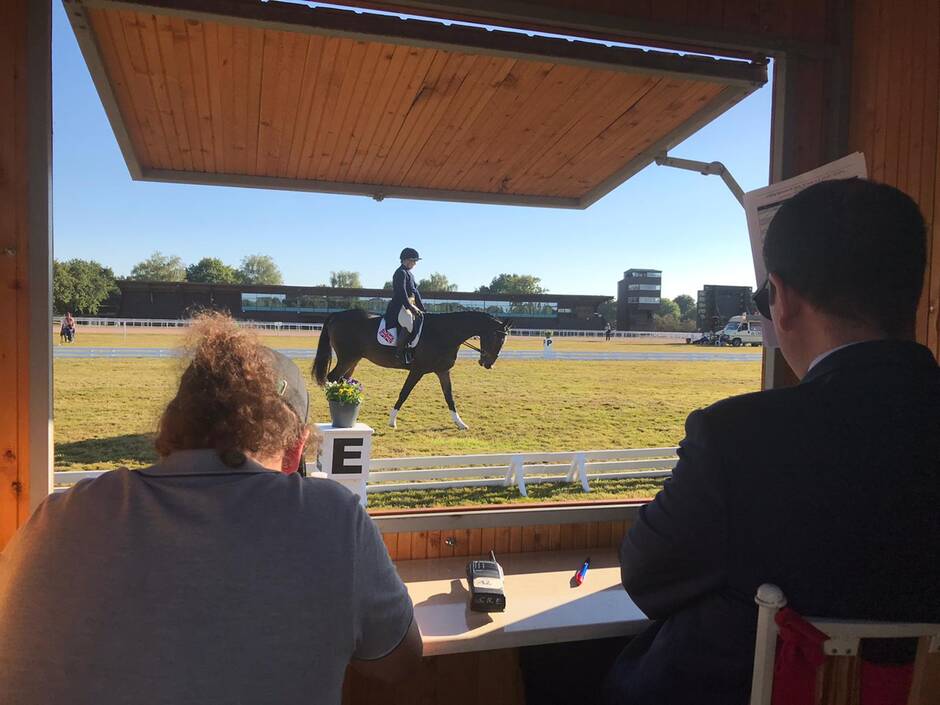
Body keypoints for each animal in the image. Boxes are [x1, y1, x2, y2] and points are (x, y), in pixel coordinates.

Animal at [314, 310, 506, 428]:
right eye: (497, 338)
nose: (488, 363)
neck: (444, 332)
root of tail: (337, 315)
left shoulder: (443, 371)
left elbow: (449, 396)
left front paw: (460, 423)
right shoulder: (417, 370)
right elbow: (404, 393)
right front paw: (392, 421)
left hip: (353, 361)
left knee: (342, 381)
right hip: (347, 358)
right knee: (332, 378)